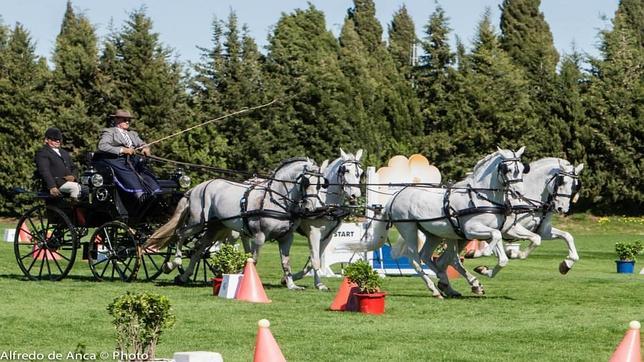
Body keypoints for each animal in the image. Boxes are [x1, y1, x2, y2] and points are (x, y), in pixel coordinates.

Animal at [146, 157, 328, 288]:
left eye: (320, 184)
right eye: (306, 182)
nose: (311, 207)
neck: (275, 200)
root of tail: (197, 187)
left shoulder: (286, 238)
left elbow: (285, 262)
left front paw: (291, 285)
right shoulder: (259, 236)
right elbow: (253, 260)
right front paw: (244, 277)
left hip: (214, 227)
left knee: (198, 249)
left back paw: (183, 277)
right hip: (198, 222)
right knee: (181, 234)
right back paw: (172, 264)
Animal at [292, 148, 362, 290]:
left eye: (361, 173)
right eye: (346, 170)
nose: (355, 195)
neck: (324, 201)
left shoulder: (327, 236)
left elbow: (314, 259)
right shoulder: (314, 233)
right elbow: (315, 260)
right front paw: (319, 284)